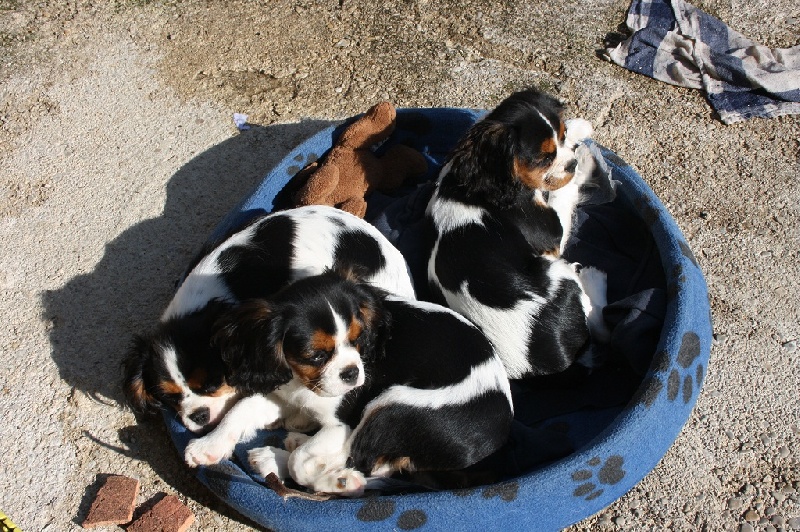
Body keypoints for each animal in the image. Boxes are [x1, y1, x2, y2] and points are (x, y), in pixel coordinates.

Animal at [203, 272, 510, 496]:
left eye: (358, 340)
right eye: (316, 355)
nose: (351, 373)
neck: (305, 383)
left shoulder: (343, 424)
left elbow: (301, 463)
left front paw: (327, 475)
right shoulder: (279, 388)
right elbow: (240, 410)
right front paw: (207, 447)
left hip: (389, 409)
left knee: (363, 459)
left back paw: (322, 473)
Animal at [428, 88, 608, 378]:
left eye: (560, 136)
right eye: (544, 158)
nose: (570, 164)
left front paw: (578, 128)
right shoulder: (549, 231)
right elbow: (562, 193)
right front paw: (581, 165)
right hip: (559, 276)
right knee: (598, 320)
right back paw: (595, 278)